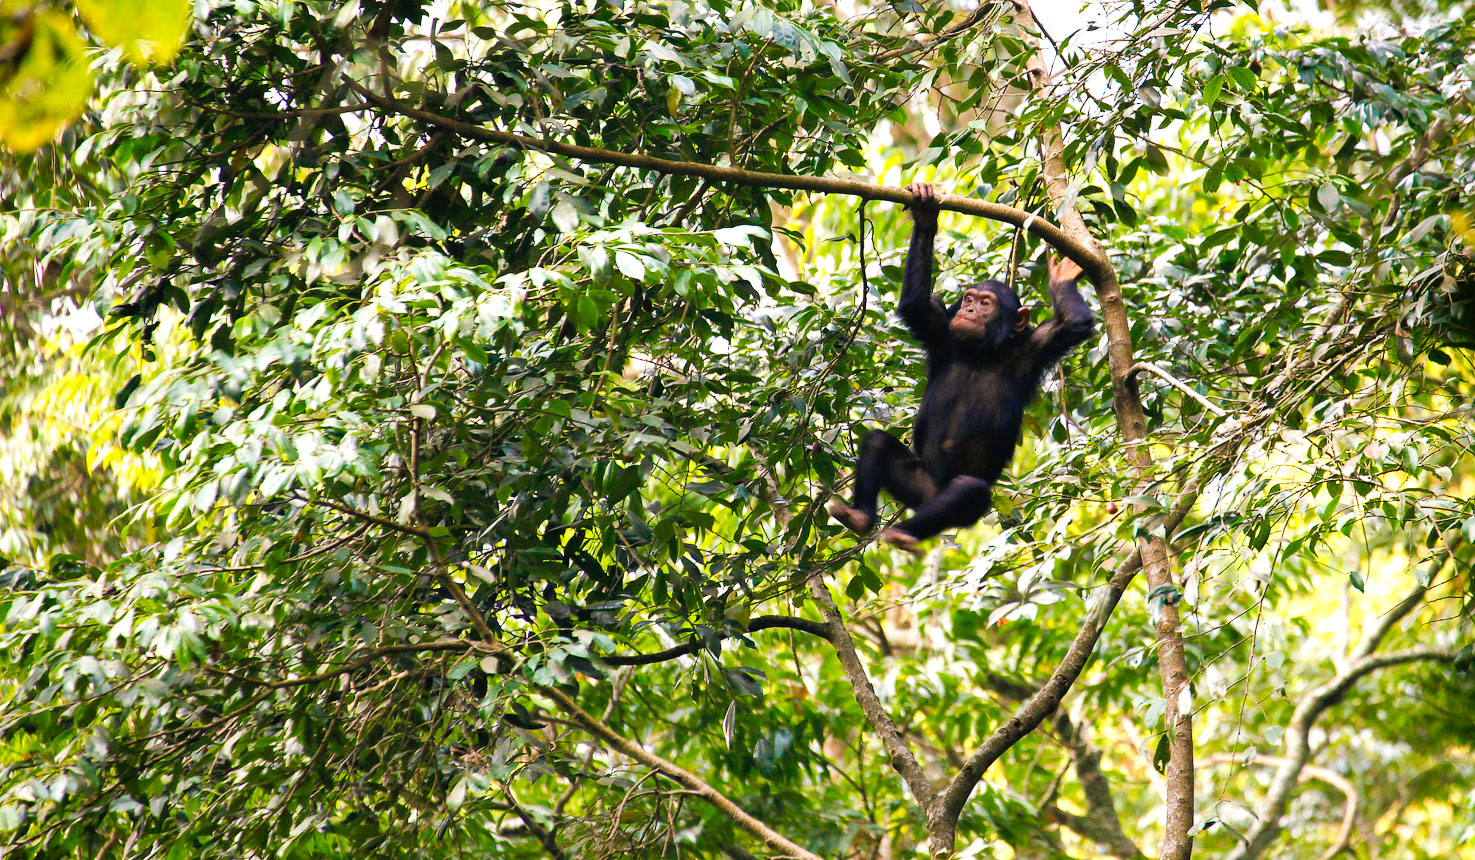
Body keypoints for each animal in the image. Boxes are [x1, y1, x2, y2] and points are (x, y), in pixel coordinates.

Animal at [831, 184, 1097, 554]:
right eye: (969, 298)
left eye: (986, 303)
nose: (969, 310)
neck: (980, 352)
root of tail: (926, 498)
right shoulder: (940, 332)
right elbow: (916, 305)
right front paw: (926, 214)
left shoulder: (1039, 345)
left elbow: (1074, 323)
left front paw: (1060, 281)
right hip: (915, 481)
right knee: (877, 443)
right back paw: (860, 517)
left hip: (955, 504)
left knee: (969, 491)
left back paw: (903, 533)